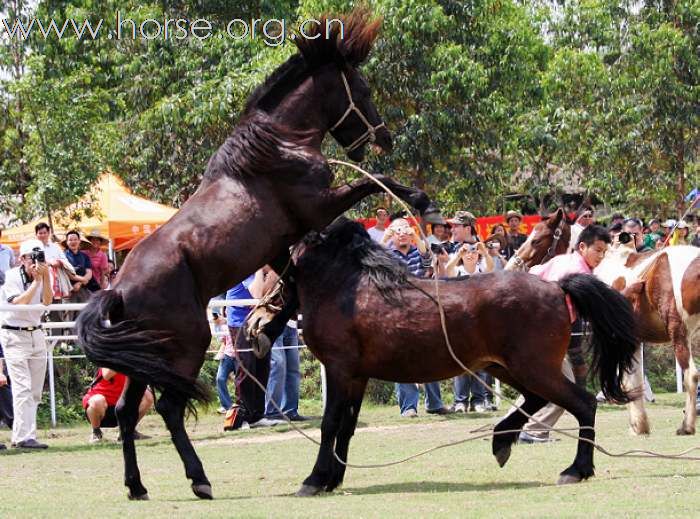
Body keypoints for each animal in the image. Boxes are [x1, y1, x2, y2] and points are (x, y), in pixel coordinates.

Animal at [78, 9, 438, 504]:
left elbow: (291, 282)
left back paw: (137, 486)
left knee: (129, 412)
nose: (380, 138)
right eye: (362, 90)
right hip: (187, 345)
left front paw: (264, 329)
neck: (282, 143)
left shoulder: (290, 239)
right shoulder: (318, 207)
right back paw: (199, 479)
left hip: (145, 357)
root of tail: (120, 289)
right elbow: (370, 182)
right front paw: (423, 203)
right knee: (169, 407)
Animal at [288, 218, 636, 496]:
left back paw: (575, 470)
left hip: (533, 368)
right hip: (507, 367)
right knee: (539, 399)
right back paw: (502, 442)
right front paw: (333, 479)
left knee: (582, 403)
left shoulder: (339, 368)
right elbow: (347, 426)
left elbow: (331, 423)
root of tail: (555, 287)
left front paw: (314, 480)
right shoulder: (357, 375)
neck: (346, 288)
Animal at [504, 213, 700, 436]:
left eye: (536, 240)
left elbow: (627, 381)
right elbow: (634, 381)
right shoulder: (634, 339)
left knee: (691, 375)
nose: (511, 266)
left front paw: (637, 424)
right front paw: (639, 425)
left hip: (679, 332)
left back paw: (686, 426)